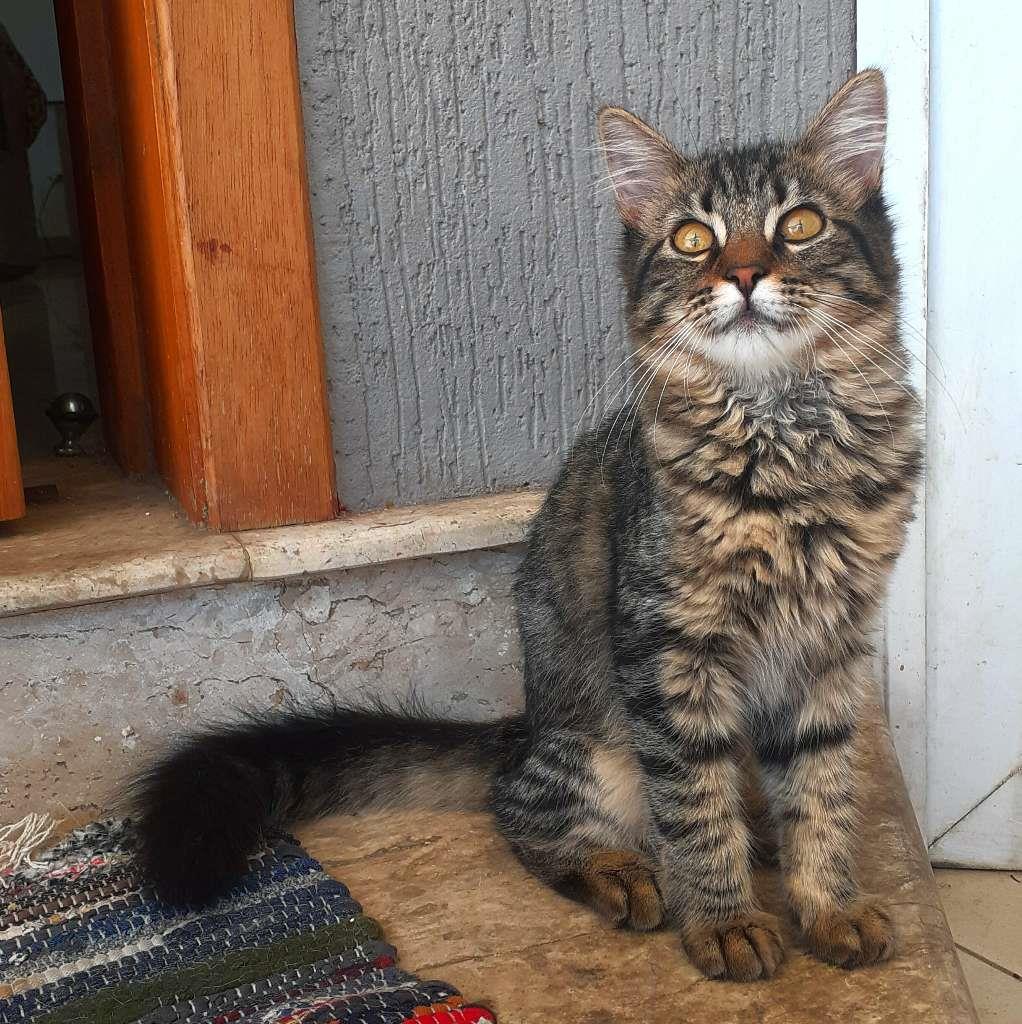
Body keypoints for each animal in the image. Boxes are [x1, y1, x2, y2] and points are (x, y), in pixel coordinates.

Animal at [133, 69, 921, 983]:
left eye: (799, 226)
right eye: (694, 240)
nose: (747, 274)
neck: (788, 440)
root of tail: (526, 722)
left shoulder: (830, 649)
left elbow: (821, 795)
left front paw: (827, 906)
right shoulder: (669, 653)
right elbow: (695, 809)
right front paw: (724, 923)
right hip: (595, 750)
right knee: (526, 812)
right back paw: (621, 874)